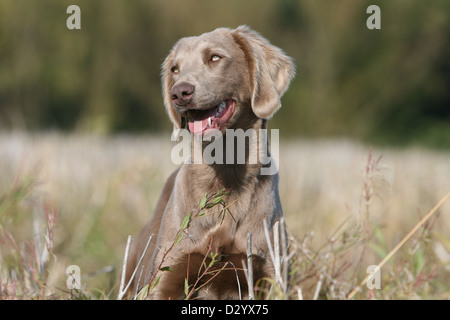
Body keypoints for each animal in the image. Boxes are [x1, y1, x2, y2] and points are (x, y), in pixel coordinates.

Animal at [124, 25, 296, 300]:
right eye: (175, 69)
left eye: (215, 57)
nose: (179, 93)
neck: (227, 173)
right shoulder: (167, 274)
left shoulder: (270, 274)